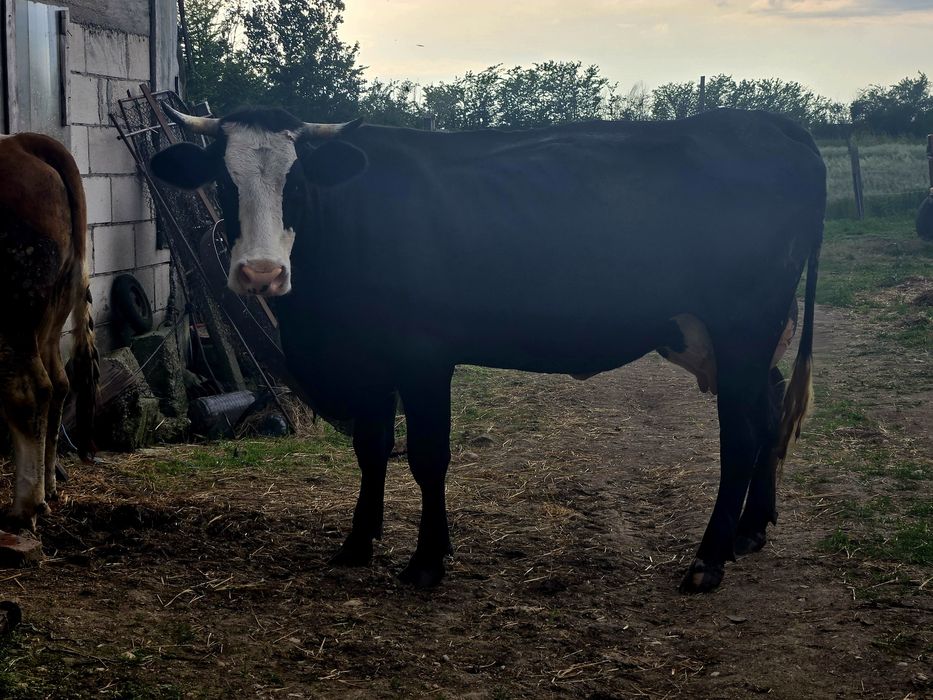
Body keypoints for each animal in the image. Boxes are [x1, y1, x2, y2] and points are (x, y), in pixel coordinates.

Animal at [152, 106, 825, 593]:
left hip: (742, 327)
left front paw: (427, 561)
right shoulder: (369, 361)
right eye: (224, 180)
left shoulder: (423, 356)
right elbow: (372, 451)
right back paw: (749, 532)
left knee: (742, 435)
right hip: (728, 339)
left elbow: (427, 457)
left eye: (296, 183)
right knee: (768, 414)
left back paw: (708, 560)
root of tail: (768, 122)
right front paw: (357, 544)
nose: (260, 273)